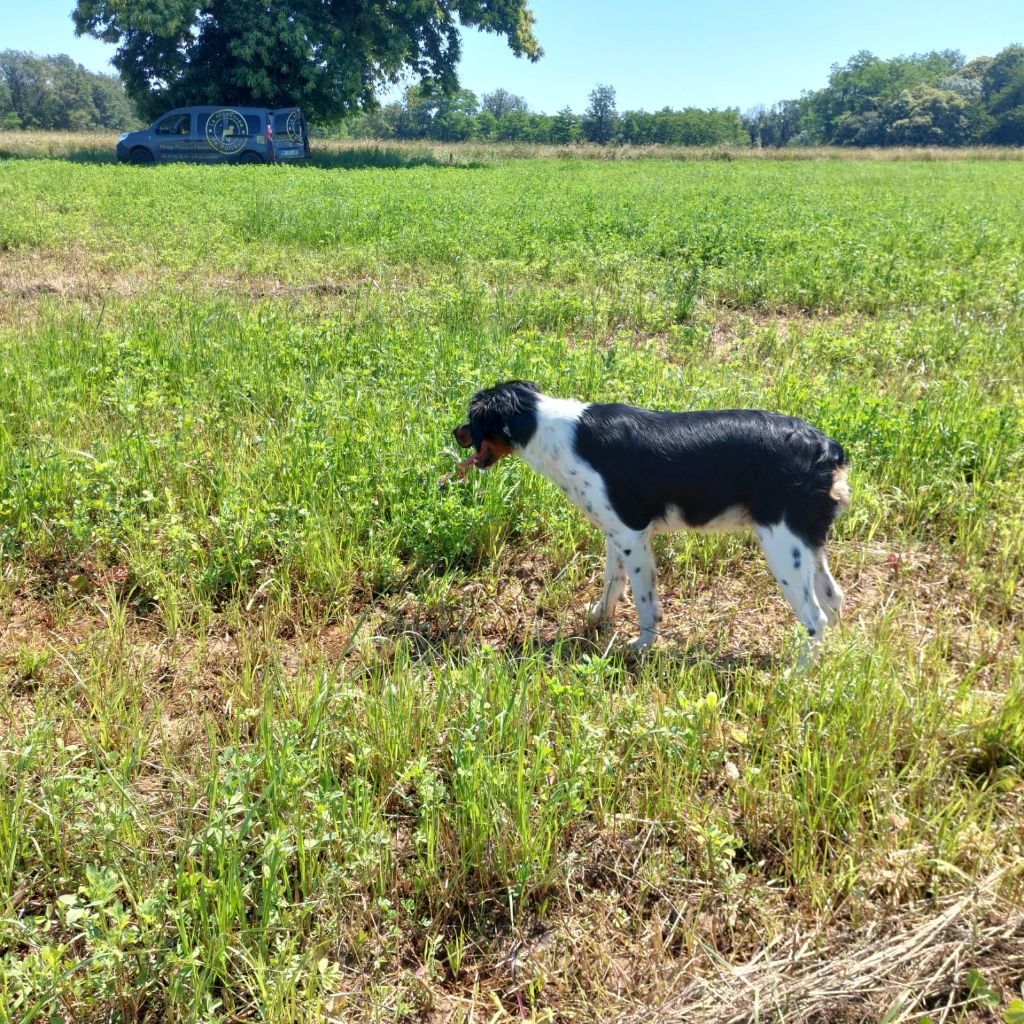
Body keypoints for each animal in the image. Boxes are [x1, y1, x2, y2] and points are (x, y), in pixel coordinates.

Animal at [454, 380, 847, 651]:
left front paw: (642, 645)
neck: (551, 431)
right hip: (808, 543)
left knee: (815, 617)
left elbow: (645, 600)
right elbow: (612, 583)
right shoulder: (614, 533)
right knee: (834, 599)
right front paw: (597, 619)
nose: (454, 431)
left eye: (472, 420)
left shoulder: (632, 534)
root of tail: (826, 448)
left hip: (783, 547)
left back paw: (794, 676)